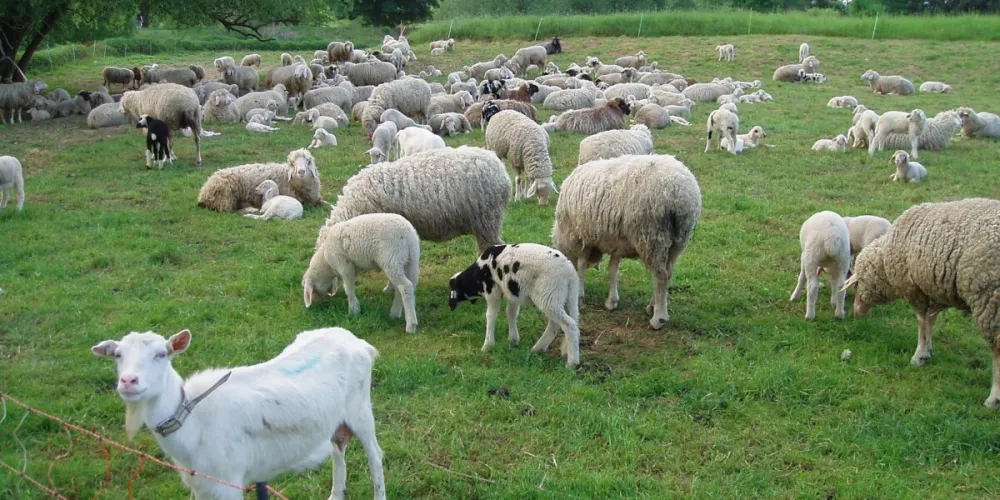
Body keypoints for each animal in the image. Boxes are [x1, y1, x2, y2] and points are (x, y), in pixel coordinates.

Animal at [90, 327, 386, 500]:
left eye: (162, 354)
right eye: (117, 355)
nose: (128, 381)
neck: (192, 419)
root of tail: (360, 343)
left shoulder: (228, 483)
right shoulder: (203, 485)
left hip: (361, 409)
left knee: (375, 456)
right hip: (335, 420)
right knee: (338, 450)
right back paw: (335, 494)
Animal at [448, 243, 581, 367]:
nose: (450, 306)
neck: (476, 276)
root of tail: (570, 273)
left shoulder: (492, 291)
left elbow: (491, 316)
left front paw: (487, 345)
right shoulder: (512, 293)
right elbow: (511, 313)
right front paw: (513, 339)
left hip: (549, 295)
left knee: (568, 325)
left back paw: (572, 363)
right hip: (567, 297)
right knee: (560, 322)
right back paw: (539, 348)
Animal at [553, 154, 701, 328]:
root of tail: (679, 193)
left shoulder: (581, 238)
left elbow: (581, 267)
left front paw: (580, 295)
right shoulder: (615, 243)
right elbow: (612, 269)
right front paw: (612, 301)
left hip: (651, 236)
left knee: (661, 276)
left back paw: (659, 317)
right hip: (678, 240)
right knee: (669, 272)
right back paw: (653, 306)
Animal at [845, 199, 1000, 408]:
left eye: (857, 285)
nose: (857, 312)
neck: (886, 260)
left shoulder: (914, 288)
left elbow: (921, 322)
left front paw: (918, 355)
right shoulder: (933, 288)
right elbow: (931, 321)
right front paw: (928, 350)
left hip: (989, 301)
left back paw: (993, 398)